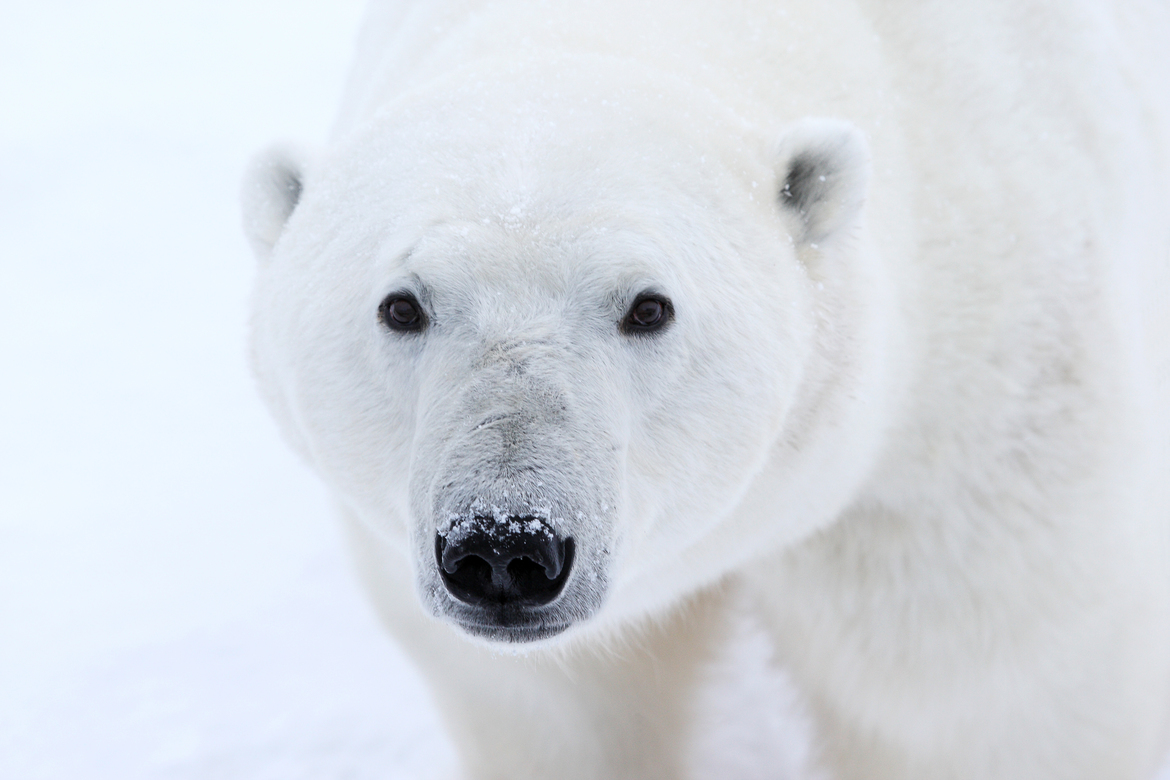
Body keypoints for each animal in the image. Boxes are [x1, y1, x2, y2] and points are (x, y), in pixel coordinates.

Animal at [241, 1, 1170, 778]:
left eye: (649, 306)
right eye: (401, 305)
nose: (504, 546)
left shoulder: (978, 427)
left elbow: (979, 703)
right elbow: (569, 714)